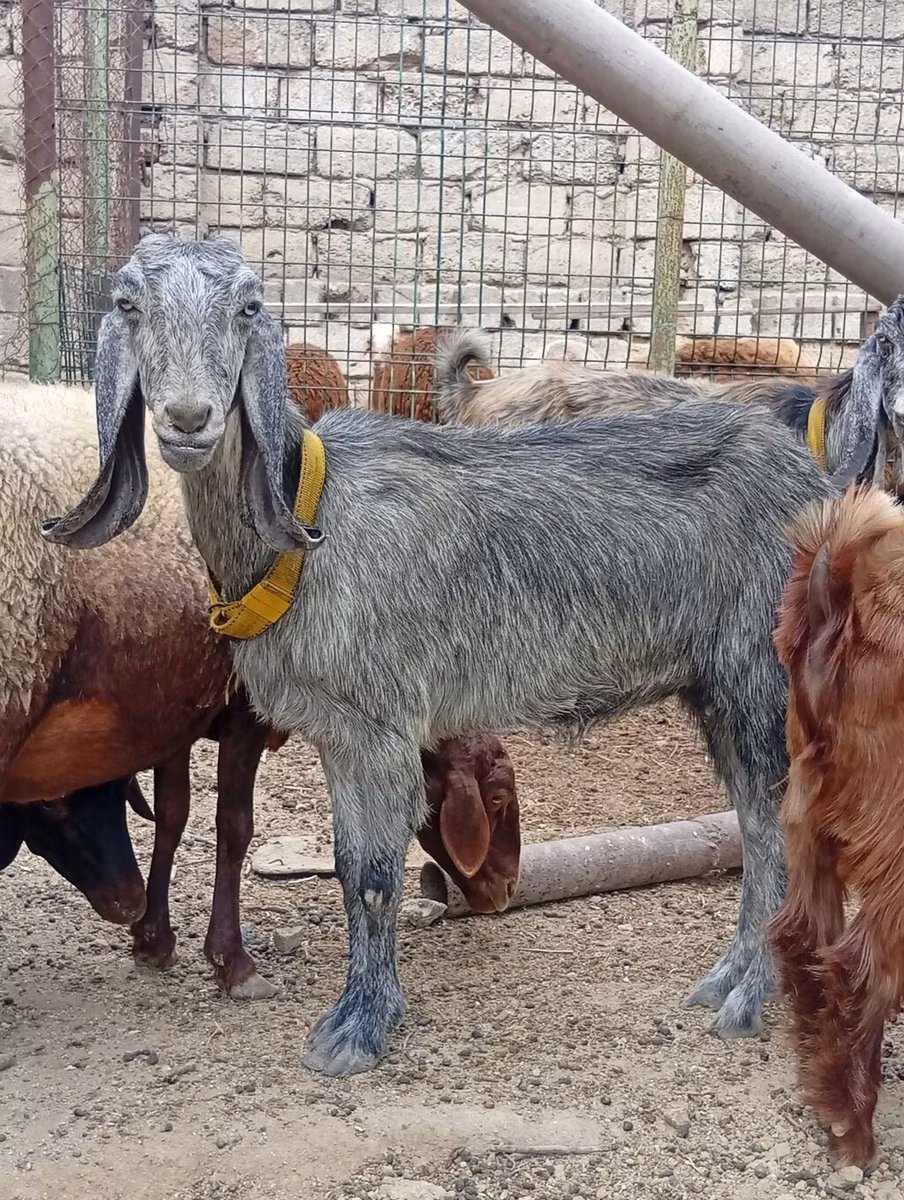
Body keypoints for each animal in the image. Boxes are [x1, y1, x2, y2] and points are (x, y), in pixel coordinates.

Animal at [45, 234, 837, 1077]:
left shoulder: (384, 725)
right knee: (757, 831)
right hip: (717, 691)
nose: (189, 417)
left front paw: (359, 1031)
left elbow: (373, 878)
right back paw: (724, 980)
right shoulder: (340, 735)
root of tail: (821, 488)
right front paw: (361, 1011)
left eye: (248, 306)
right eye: (129, 304)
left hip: (760, 681)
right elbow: (349, 866)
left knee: (780, 832)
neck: (312, 522)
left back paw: (748, 998)